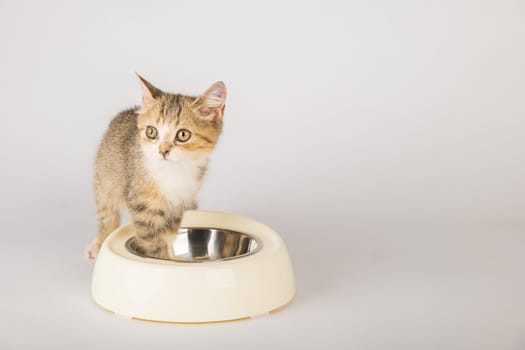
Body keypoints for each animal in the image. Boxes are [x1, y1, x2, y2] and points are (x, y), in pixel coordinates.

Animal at [85, 74, 225, 260]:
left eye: (183, 135)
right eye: (151, 132)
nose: (162, 151)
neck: (172, 172)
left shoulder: (179, 205)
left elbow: (168, 235)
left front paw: (171, 258)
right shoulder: (142, 205)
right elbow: (153, 241)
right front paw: (161, 259)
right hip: (105, 176)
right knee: (107, 213)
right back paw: (100, 242)